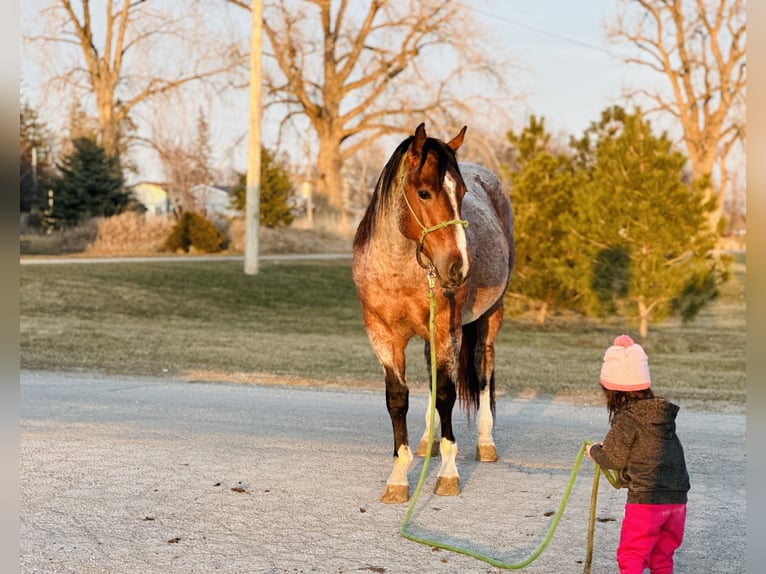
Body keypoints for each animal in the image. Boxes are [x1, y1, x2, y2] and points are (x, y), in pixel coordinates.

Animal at [354, 122, 516, 504]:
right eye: (424, 193)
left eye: (463, 192)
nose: (458, 267)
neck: (397, 270)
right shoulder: (382, 335)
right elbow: (397, 399)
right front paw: (398, 477)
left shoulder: (446, 330)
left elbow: (446, 394)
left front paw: (448, 473)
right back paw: (427, 440)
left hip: (490, 318)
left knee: (483, 371)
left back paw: (485, 443)